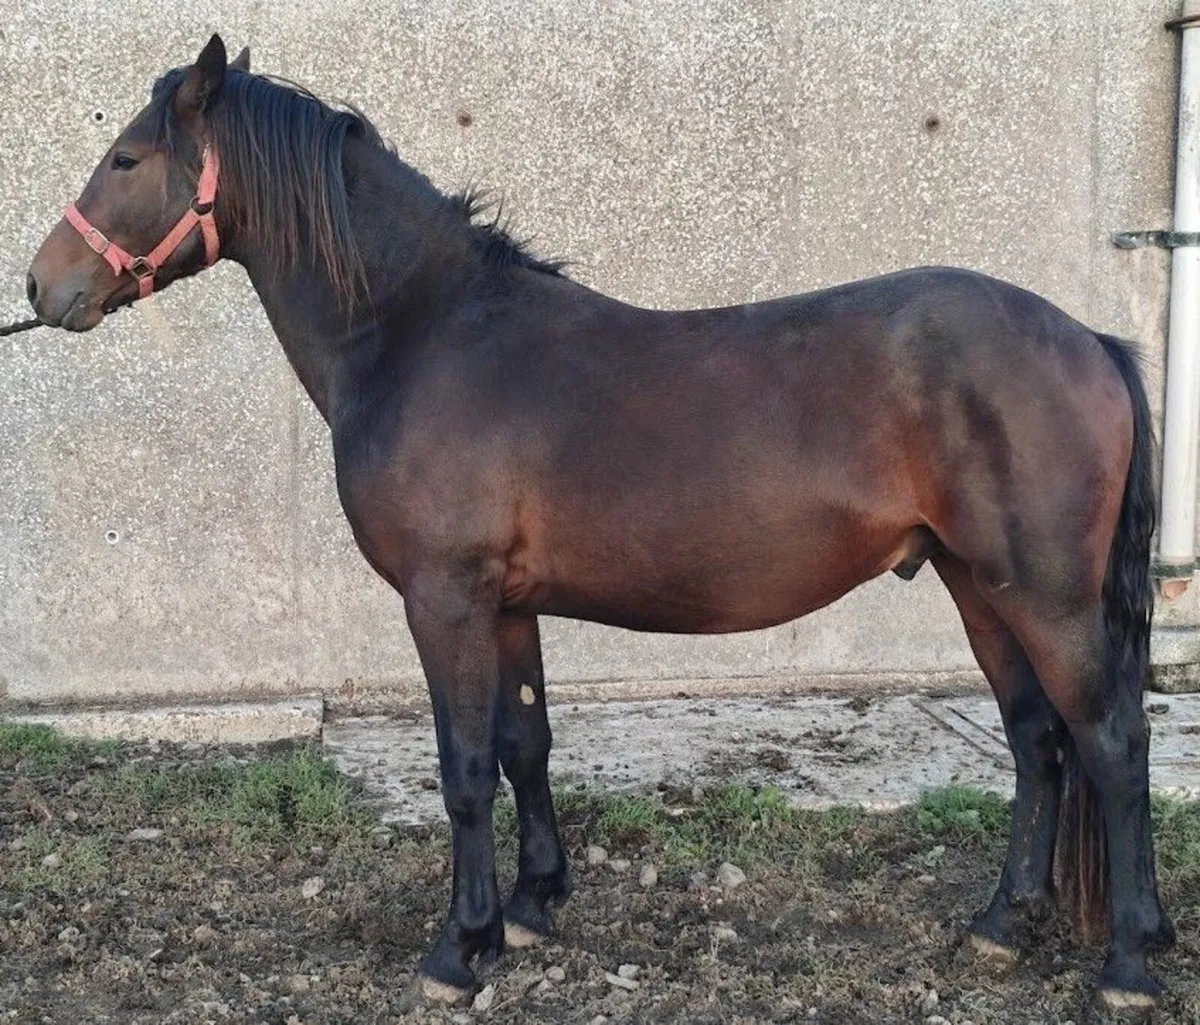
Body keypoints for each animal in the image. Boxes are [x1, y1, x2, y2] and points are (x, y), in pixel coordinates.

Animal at [25, 34, 1174, 1010]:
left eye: (126, 158)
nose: (42, 286)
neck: (425, 333)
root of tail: (1091, 339)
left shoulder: (445, 598)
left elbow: (463, 766)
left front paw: (459, 947)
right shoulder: (506, 604)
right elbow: (525, 742)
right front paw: (532, 907)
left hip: (1044, 594)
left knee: (1112, 741)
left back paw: (1128, 961)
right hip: (974, 582)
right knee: (1037, 739)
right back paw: (1001, 924)